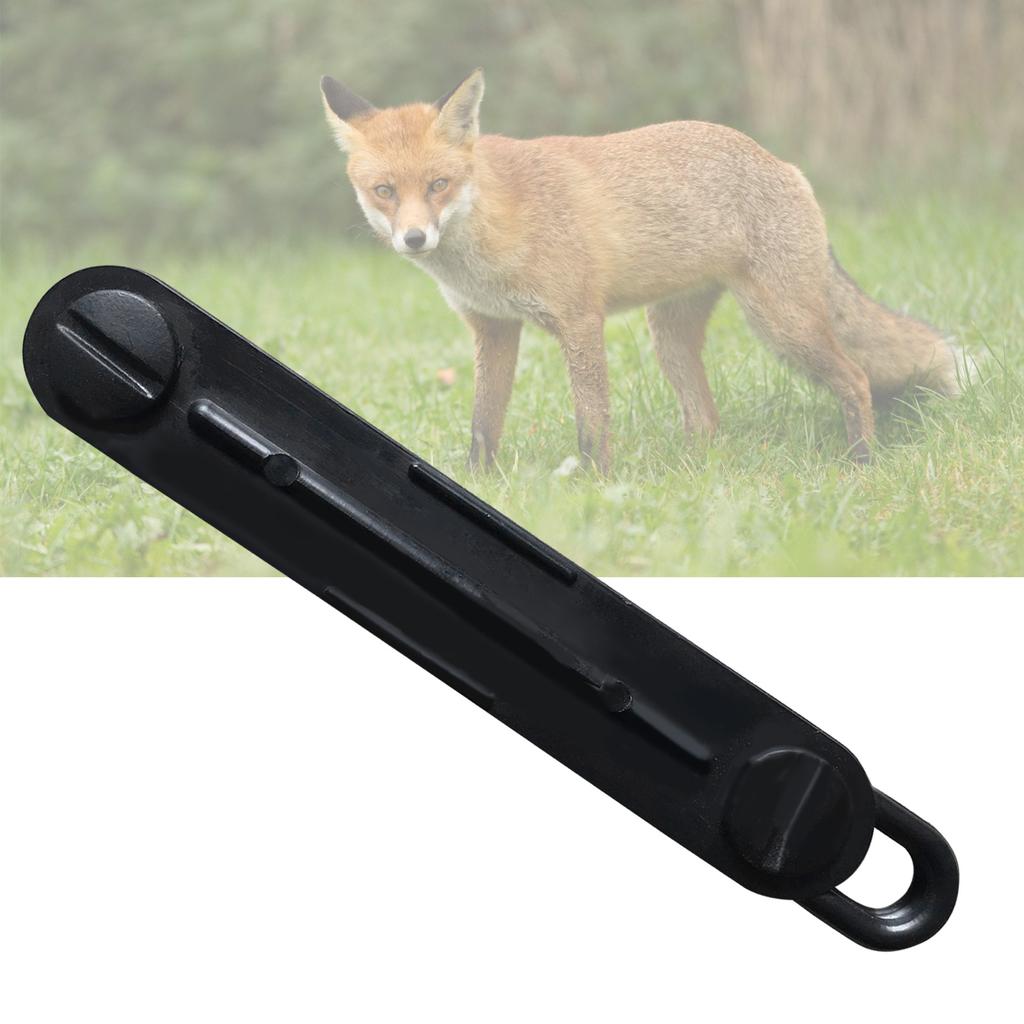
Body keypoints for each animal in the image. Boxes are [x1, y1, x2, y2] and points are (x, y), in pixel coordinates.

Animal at [320, 68, 958, 471]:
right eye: (384, 191)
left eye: (438, 184)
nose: (414, 238)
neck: (490, 239)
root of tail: (782, 163)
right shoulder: (495, 329)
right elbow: (483, 425)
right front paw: (479, 484)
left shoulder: (579, 320)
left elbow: (591, 422)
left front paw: (597, 486)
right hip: (670, 337)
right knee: (706, 419)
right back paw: (696, 476)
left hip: (783, 324)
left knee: (855, 377)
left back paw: (862, 463)